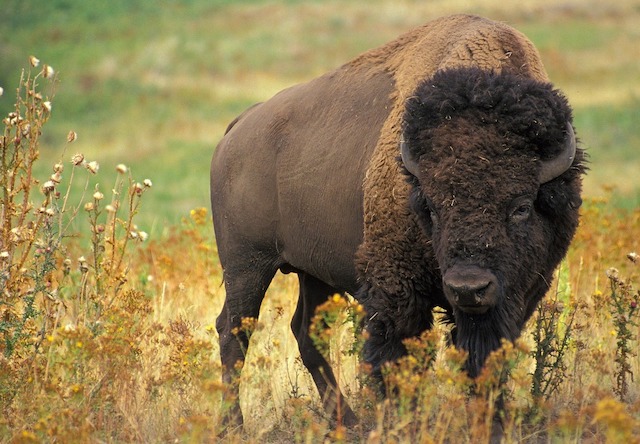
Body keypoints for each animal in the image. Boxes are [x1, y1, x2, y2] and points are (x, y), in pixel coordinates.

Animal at [210, 14, 584, 426]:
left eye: (521, 206)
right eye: (431, 207)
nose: (468, 288)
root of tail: (239, 127)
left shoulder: (518, 294)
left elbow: (485, 357)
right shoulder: (396, 289)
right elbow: (396, 357)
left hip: (312, 272)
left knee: (305, 331)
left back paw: (346, 421)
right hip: (247, 265)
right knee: (234, 330)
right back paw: (233, 424)